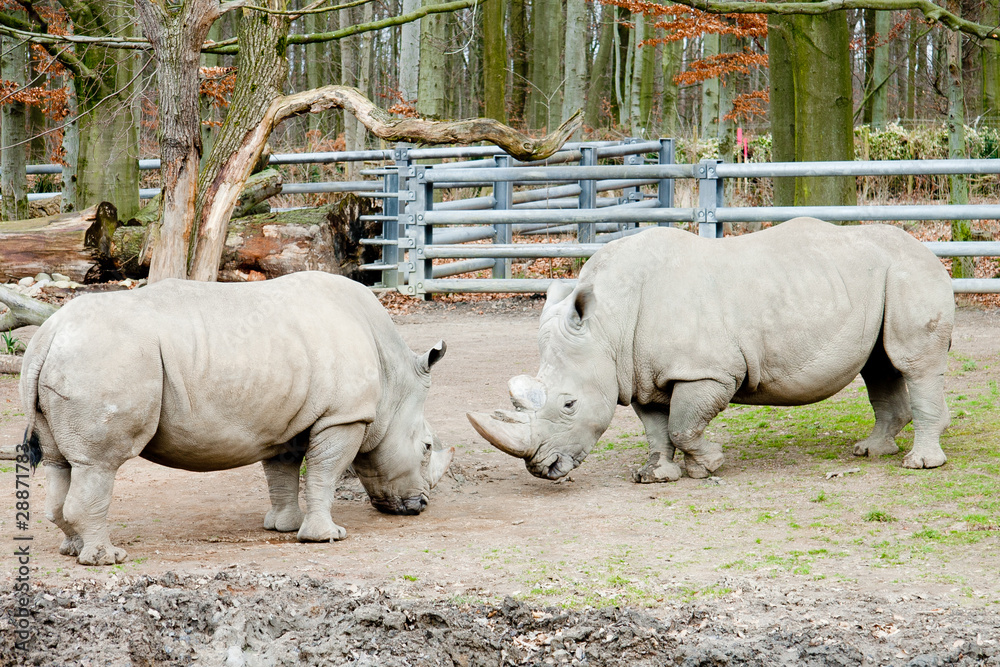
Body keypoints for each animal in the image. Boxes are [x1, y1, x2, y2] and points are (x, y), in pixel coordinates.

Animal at [20, 272, 453, 565]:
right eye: (427, 447)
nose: (419, 506)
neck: (394, 378)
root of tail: (48, 334)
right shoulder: (343, 416)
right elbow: (324, 473)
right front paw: (327, 537)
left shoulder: (286, 419)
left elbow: (282, 473)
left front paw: (284, 527)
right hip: (102, 358)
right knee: (99, 464)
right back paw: (107, 558)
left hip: (71, 358)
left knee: (60, 463)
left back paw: (72, 548)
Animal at [469, 218, 954, 483]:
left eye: (569, 404)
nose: (542, 468)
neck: (607, 326)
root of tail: (929, 251)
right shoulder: (640, 373)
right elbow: (656, 428)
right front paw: (654, 476)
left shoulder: (706, 370)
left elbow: (683, 425)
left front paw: (709, 466)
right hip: (875, 279)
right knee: (880, 366)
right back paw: (871, 451)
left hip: (910, 272)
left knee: (912, 363)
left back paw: (918, 465)